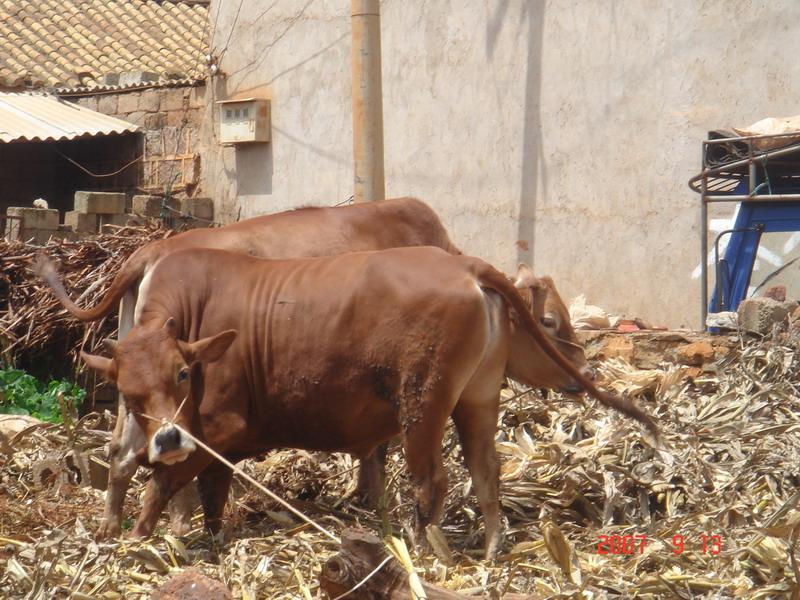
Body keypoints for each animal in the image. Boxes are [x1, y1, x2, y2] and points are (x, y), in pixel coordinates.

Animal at [78, 244, 660, 556]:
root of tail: (466, 266)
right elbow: (204, 488)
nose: (166, 436)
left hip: (423, 403)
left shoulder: (221, 427)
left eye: (183, 373)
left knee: (432, 480)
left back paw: (422, 549)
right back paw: (491, 546)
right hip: (475, 400)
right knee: (484, 470)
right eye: (127, 394)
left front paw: (139, 534)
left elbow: (171, 479)